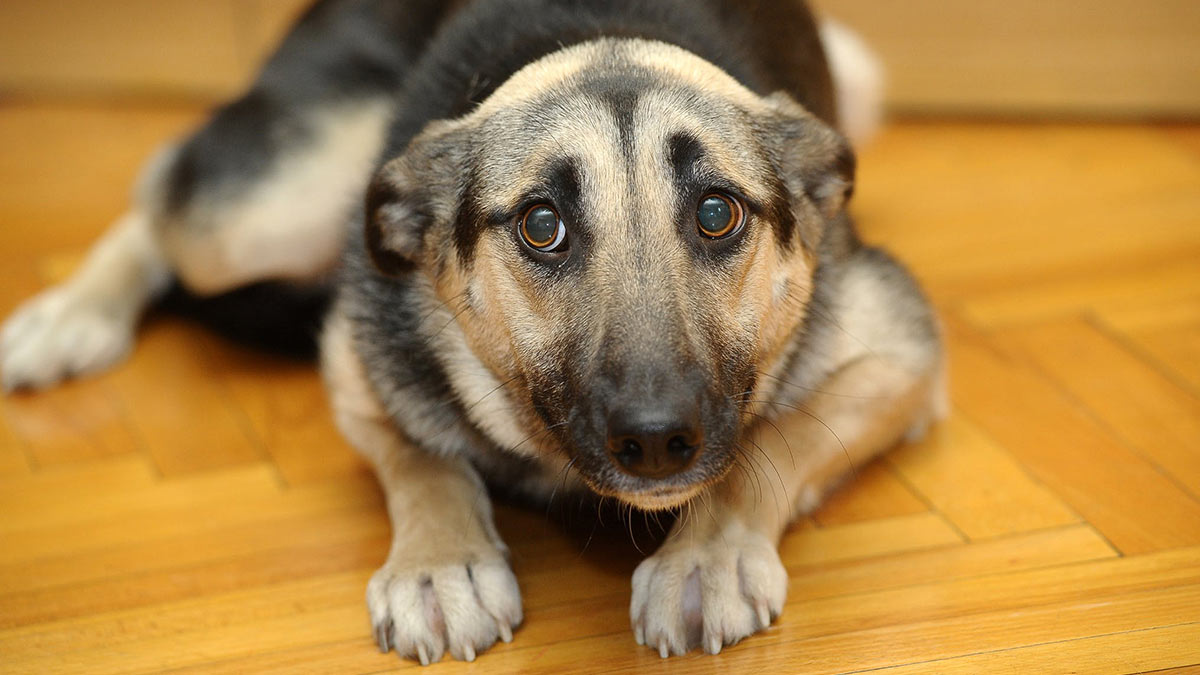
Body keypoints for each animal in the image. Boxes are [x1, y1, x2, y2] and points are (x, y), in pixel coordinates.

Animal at [2, 0, 945, 662]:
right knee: (162, 188)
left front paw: (707, 553)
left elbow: (771, 440)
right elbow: (421, 453)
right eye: (541, 225)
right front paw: (441, 559)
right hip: (260, 209)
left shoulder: (904, 354)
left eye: (718, 213)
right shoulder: (354, 358)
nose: (655, 441)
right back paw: (70, 314)